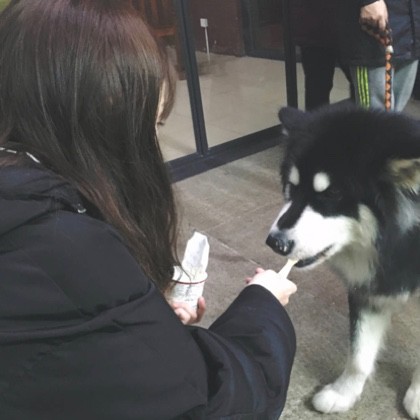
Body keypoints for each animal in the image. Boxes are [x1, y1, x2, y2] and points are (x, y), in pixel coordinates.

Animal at [266, 104, 420, 418]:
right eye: (292, 187)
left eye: (333, 193)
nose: (275, 242)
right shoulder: (368, 291)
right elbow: (359, 355)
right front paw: (343, 393)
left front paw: (418, 395)